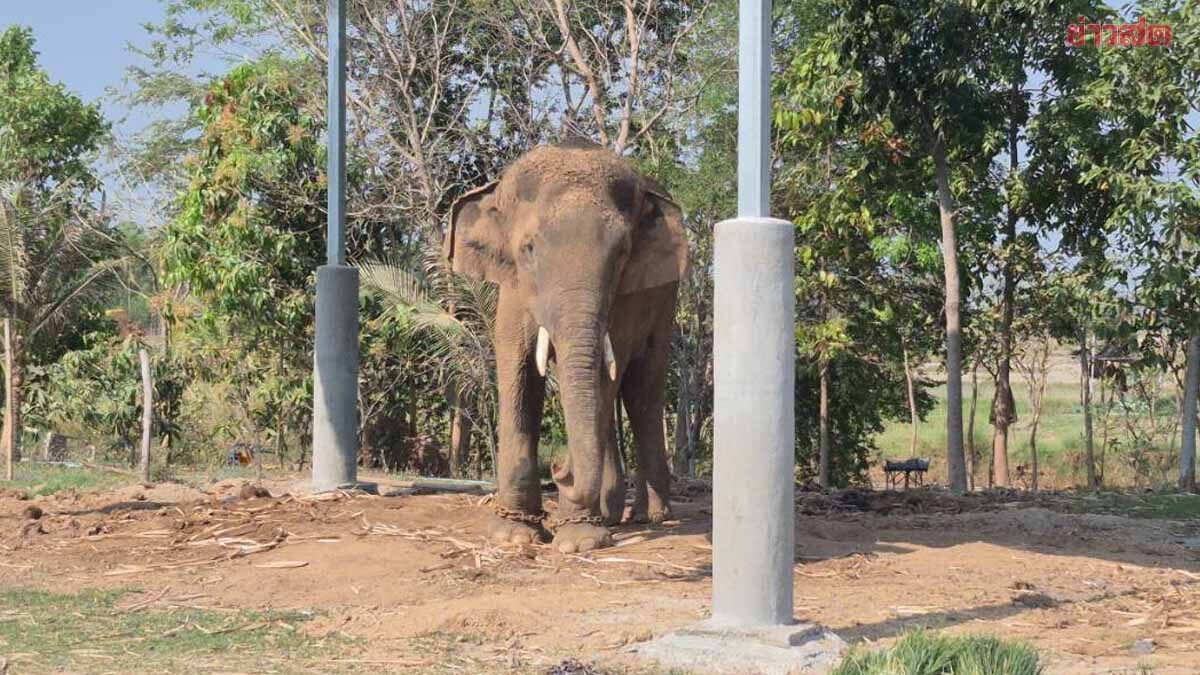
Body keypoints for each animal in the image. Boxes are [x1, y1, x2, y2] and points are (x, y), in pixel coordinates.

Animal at [445, 139, 687, 553]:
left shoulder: (622, 298)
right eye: (528, 249)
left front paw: (579, 542)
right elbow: (518, 369)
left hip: (664, 298)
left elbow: (605, 375)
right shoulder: (513, 290)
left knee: (642, 388)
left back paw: (651, 516)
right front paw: (514, 534)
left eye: (622, 253)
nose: (558, 468)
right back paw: (612, 514)